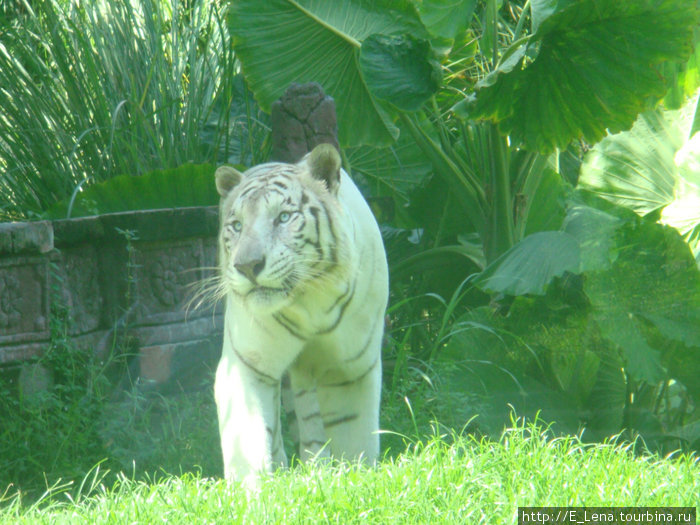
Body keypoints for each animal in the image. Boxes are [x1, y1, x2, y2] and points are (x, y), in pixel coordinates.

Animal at [213, 143, 388, 484]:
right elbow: (247, 434)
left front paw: (354, 479)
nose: (247, 266)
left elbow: (354, 437)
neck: (310, 302)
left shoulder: (350, 369)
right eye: (237, 225)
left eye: (283, 217)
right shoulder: (247, 362)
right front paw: (250, 489)